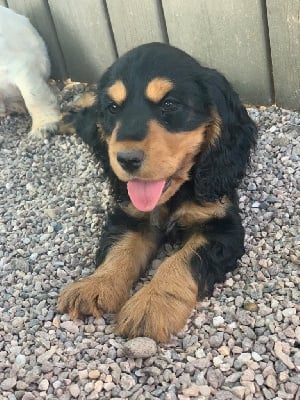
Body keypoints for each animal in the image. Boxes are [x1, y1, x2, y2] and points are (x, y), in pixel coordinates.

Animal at [56, 42, 258, 340]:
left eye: (169, 104)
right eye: (113, 108)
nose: (126, 159)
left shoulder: (221, 225)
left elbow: (180, 261)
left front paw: (152, 304)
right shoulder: (130, 214)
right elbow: (121, 249)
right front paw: (95, 285)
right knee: (86, 118)